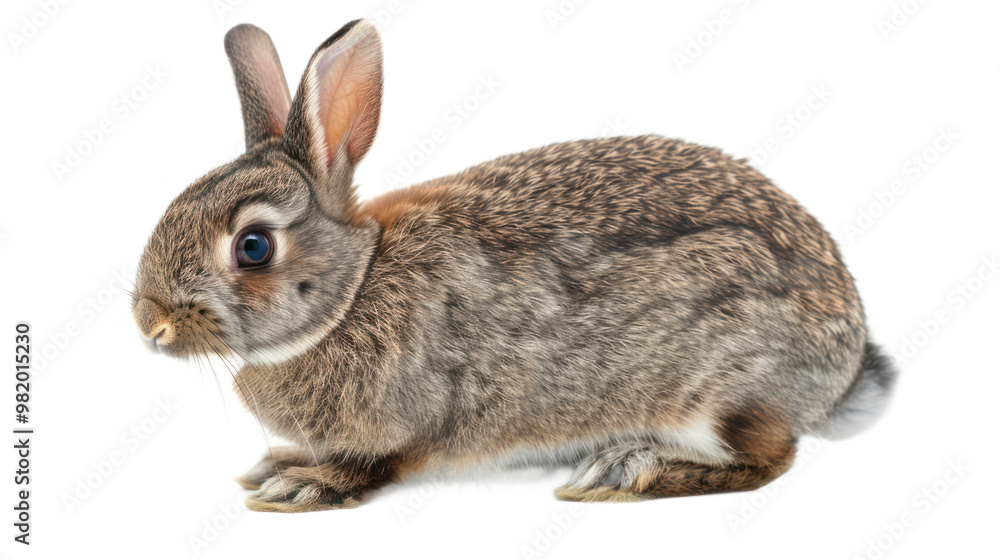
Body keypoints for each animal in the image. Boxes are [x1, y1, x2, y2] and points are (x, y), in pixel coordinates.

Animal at [131, 19, 897, 513]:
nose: (150, 322)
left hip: (723, 384)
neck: (352, 292)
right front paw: (276, 465)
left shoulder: (415, 416)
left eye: (253, 247)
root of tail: (844, 364)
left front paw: (301, 486)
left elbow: (377, 463)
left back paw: (627, 470)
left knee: (770, 457)